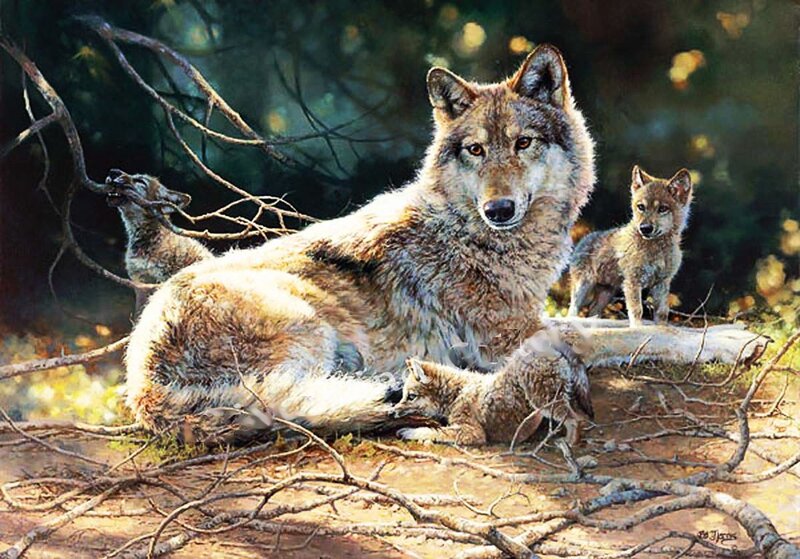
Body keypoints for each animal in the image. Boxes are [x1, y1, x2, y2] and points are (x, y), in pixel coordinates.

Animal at [568, 166, 692, 327]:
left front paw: (661, 329)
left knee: (593, 310)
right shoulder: (633, 282)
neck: (657, 250)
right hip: (583, 287)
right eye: (641, 207)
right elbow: (637, 310)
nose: (645, 228)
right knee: (572, 310)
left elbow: (662, 313)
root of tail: (583, 240)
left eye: (663, 209)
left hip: (606, 293)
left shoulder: (662, 283)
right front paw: (637, 329)